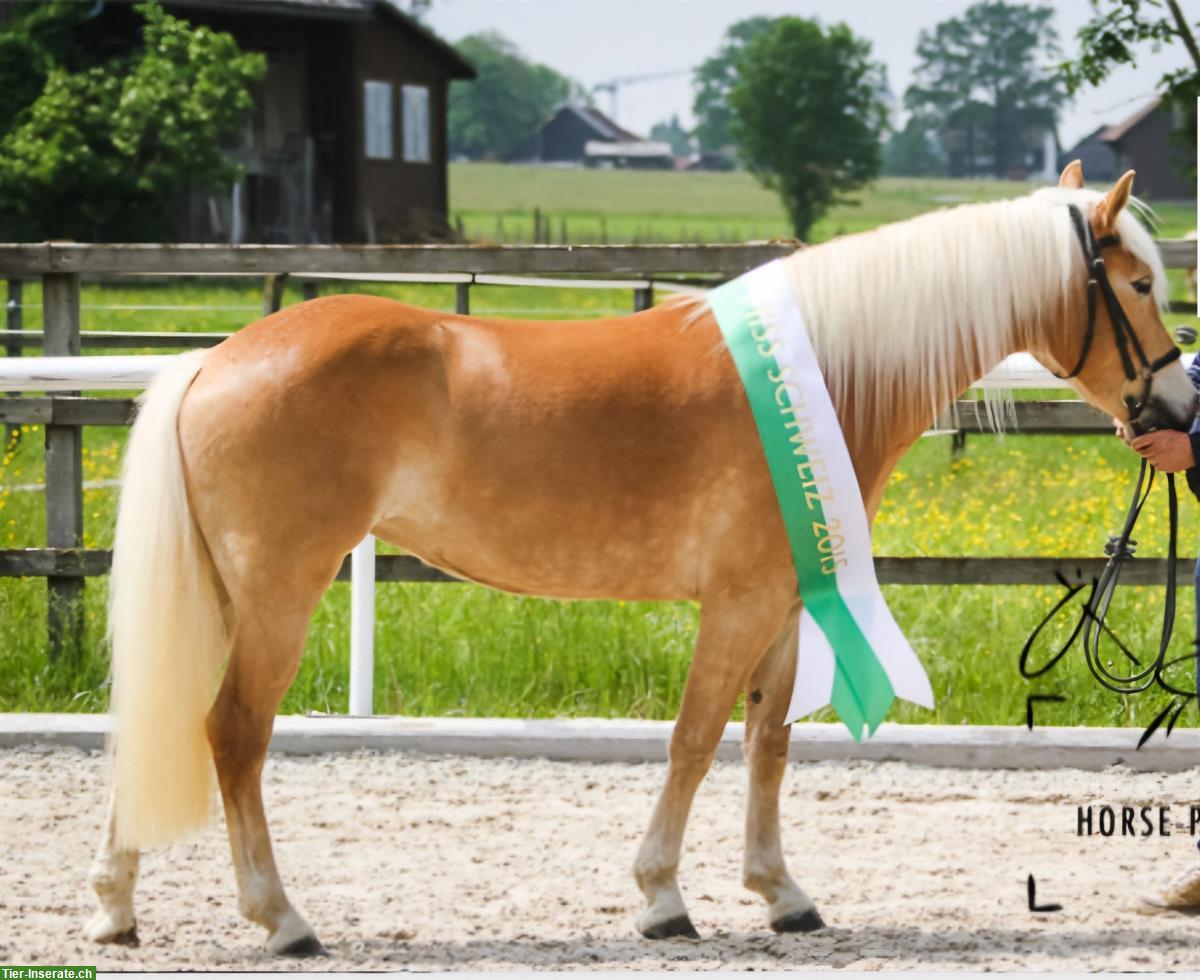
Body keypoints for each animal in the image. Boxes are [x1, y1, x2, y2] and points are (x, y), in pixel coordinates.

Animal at [82, 164, 1190, 950]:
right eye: (1139, 283)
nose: (1178, 410)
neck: (825, 370)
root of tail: (212, 362)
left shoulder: (787, 603)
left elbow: (769, 740)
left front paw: (781, 892)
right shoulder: (736, 604)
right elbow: (695, 740)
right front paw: (663, 898)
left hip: (225, 596)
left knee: (160, 715)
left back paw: (114, 905)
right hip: (277, 596)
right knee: (232, 734)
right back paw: (281, 918)